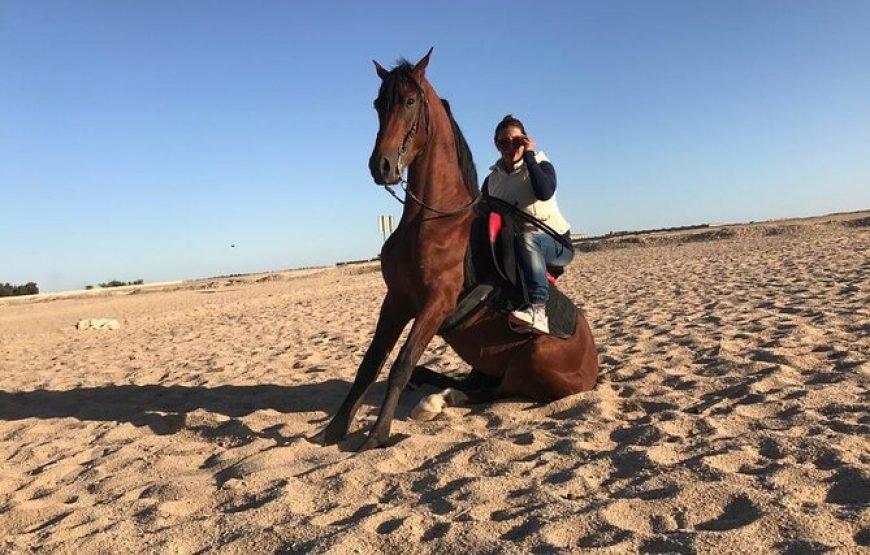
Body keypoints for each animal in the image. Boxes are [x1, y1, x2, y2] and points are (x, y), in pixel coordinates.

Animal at [316, 49, 599, 450]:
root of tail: (593, 367)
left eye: (409, 101)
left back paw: (438, 401)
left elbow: (400, 364)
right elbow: (370, 365)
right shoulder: (397, 301)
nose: (381, 166)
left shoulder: (436, 303)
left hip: (532, 359)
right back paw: (435, 398)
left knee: (495, 390)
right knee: (467, 381)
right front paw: (334, 430)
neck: (432, 219)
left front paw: (376, 436)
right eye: (377, 104)